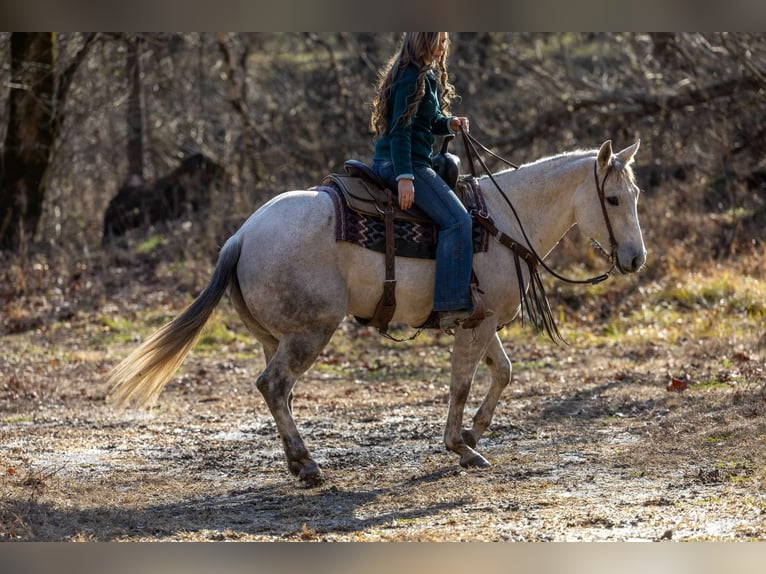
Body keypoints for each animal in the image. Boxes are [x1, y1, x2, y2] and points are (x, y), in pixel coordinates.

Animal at [107, 139, 646, 486]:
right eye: (613, 198)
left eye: (635, 195)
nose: (636, 259)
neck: (502, 222)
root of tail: (240, 236)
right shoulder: (476, 323)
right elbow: (462, 384)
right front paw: (460, 446)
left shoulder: (482, 320)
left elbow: (504, 373)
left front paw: (473, 433)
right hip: (310, 333)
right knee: (274, 386)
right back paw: (308, 466)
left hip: (274, 336)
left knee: (277, 392)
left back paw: (295, 462)